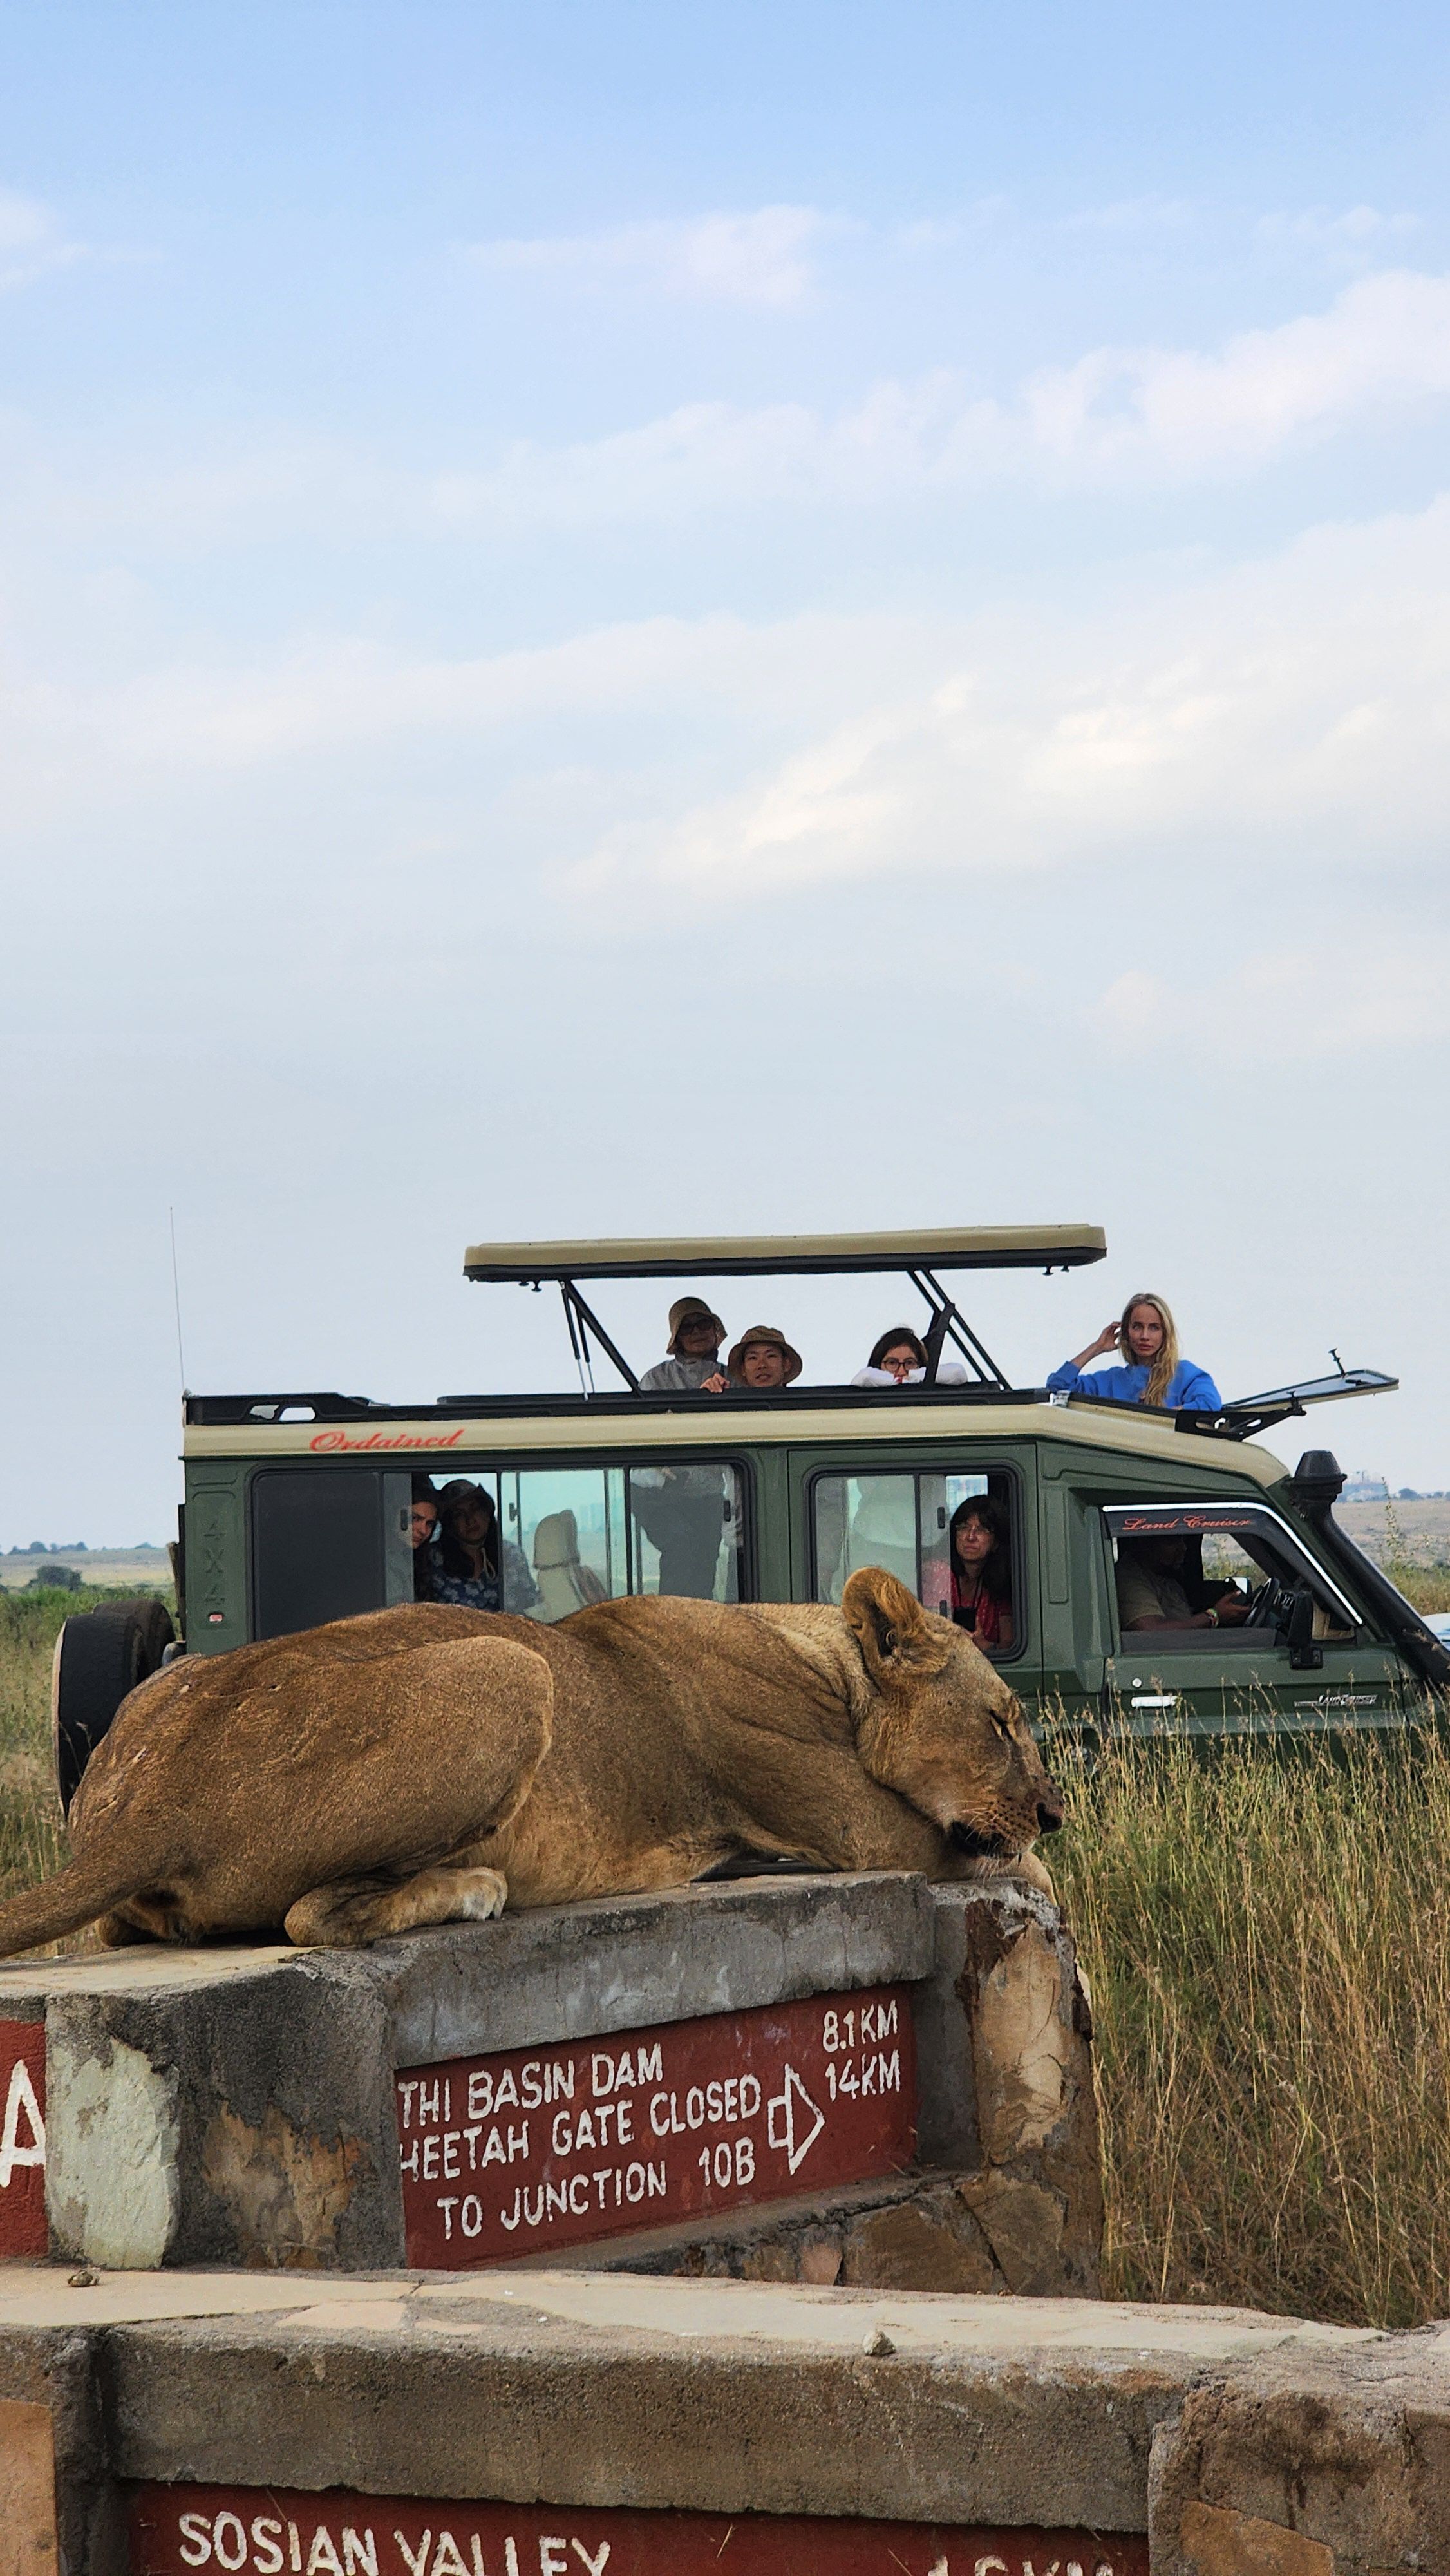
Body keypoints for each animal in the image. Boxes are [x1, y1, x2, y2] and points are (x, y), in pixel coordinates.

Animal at [0, 1569, 1064, 1958]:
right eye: (1003, 1722)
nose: (1055, 1809)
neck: (821, 1660)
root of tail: (145, 1806)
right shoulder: (867, 1826)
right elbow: (1023, 1864)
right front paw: (1041, 1857)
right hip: (510, 1668)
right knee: (311, 1916)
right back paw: (475, 1889)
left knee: (130, 1928)